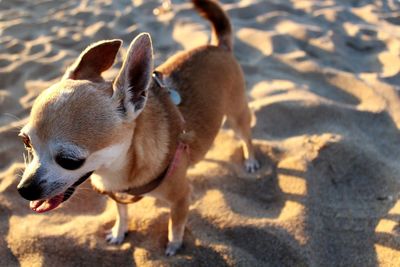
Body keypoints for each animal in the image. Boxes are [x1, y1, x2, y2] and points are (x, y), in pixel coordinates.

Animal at [17, 0, 260, 256]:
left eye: (69, 161)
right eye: (26, 142)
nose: (23, 190)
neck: (117, 170)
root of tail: (218, 46)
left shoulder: (181, 199)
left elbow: (176, 225)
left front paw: (174, 246)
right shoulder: (118, 194)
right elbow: (121, 213)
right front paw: (119, 232)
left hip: (237, 115)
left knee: (246, 137)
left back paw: (250, 160)